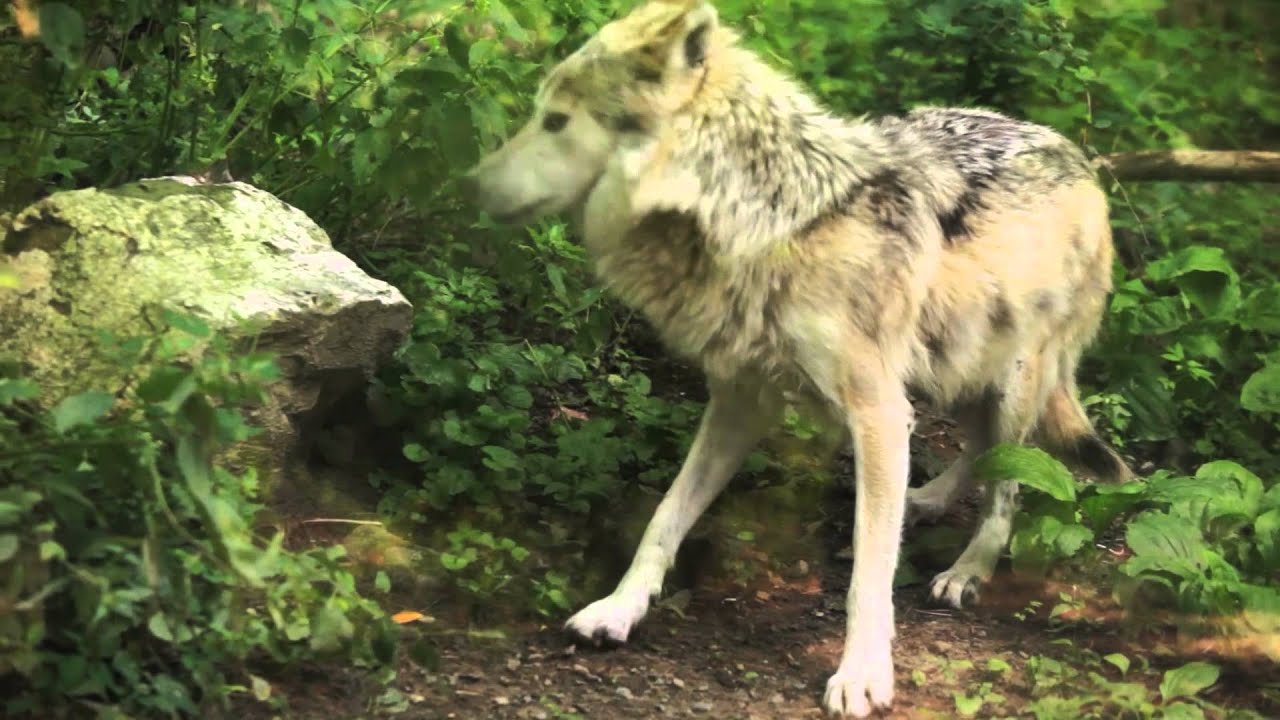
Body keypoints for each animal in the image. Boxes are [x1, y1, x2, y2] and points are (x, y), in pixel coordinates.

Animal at [462, 1, 1132, 716]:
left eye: (557, 120)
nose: (469, 183)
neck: (769, 226)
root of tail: (1075, 152)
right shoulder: (740, 400)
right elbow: (665, 517)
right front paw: (618, 610)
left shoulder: (876, 413)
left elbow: (870, 571)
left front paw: (863, 675)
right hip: (950, 365)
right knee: (978, 449)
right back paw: (925, 501)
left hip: (1013, 381)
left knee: (1008, 486)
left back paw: (965, 572)